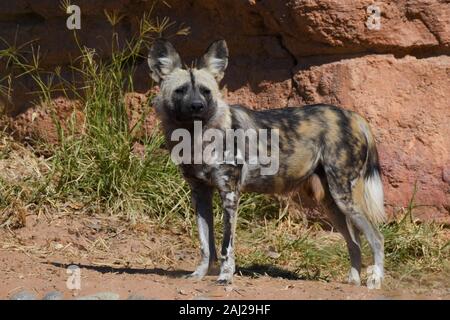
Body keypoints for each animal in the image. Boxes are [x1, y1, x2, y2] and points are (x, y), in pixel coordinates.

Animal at [149, 38, 386, 288]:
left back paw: (375, 280)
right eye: (180, 91)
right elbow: (206, 244)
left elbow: (225, 247)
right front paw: (199, 274)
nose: (197, 106)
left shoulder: (230, 195)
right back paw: (353, 280)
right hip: (332, 203)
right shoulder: (200, 194)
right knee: (355, 241)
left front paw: (225, 277)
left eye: (206, 91)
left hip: (344, 197)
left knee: (377, 237)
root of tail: (353, 116)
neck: (197, 138)